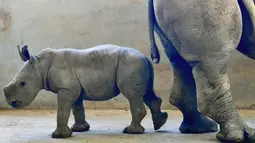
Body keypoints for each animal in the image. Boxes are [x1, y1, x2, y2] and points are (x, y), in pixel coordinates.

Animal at [3, 44, 168, 139]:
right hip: (136, 64)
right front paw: (79, 129)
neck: (40, 65)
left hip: (130, 64)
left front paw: (59, 136)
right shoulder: (73, 88)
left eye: (22, 83)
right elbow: (77, 108)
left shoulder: (66, 89)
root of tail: (145, 56)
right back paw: (159, 124)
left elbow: (62, 110)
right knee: (146, 94)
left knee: (132, 96)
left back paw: (130, 131)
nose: (12, 103)